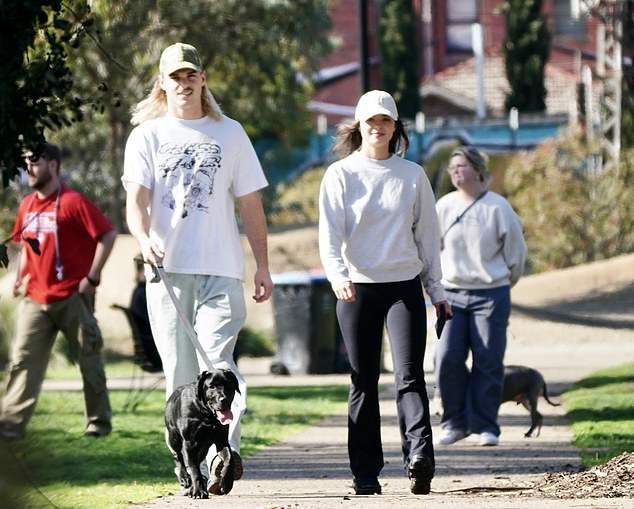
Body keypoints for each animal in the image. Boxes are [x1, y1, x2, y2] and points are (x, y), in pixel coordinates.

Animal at [164, 368, 241, 498]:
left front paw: (226, 483)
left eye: (229, 384)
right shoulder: (190, 443)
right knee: (178, 456)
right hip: (174, 436)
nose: (224, 399)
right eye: (211, 386)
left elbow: (229, 459)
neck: (207, 414)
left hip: (203, 449)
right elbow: (195, 470)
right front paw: (198, 491)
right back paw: (184, 478)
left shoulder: (222, 440)